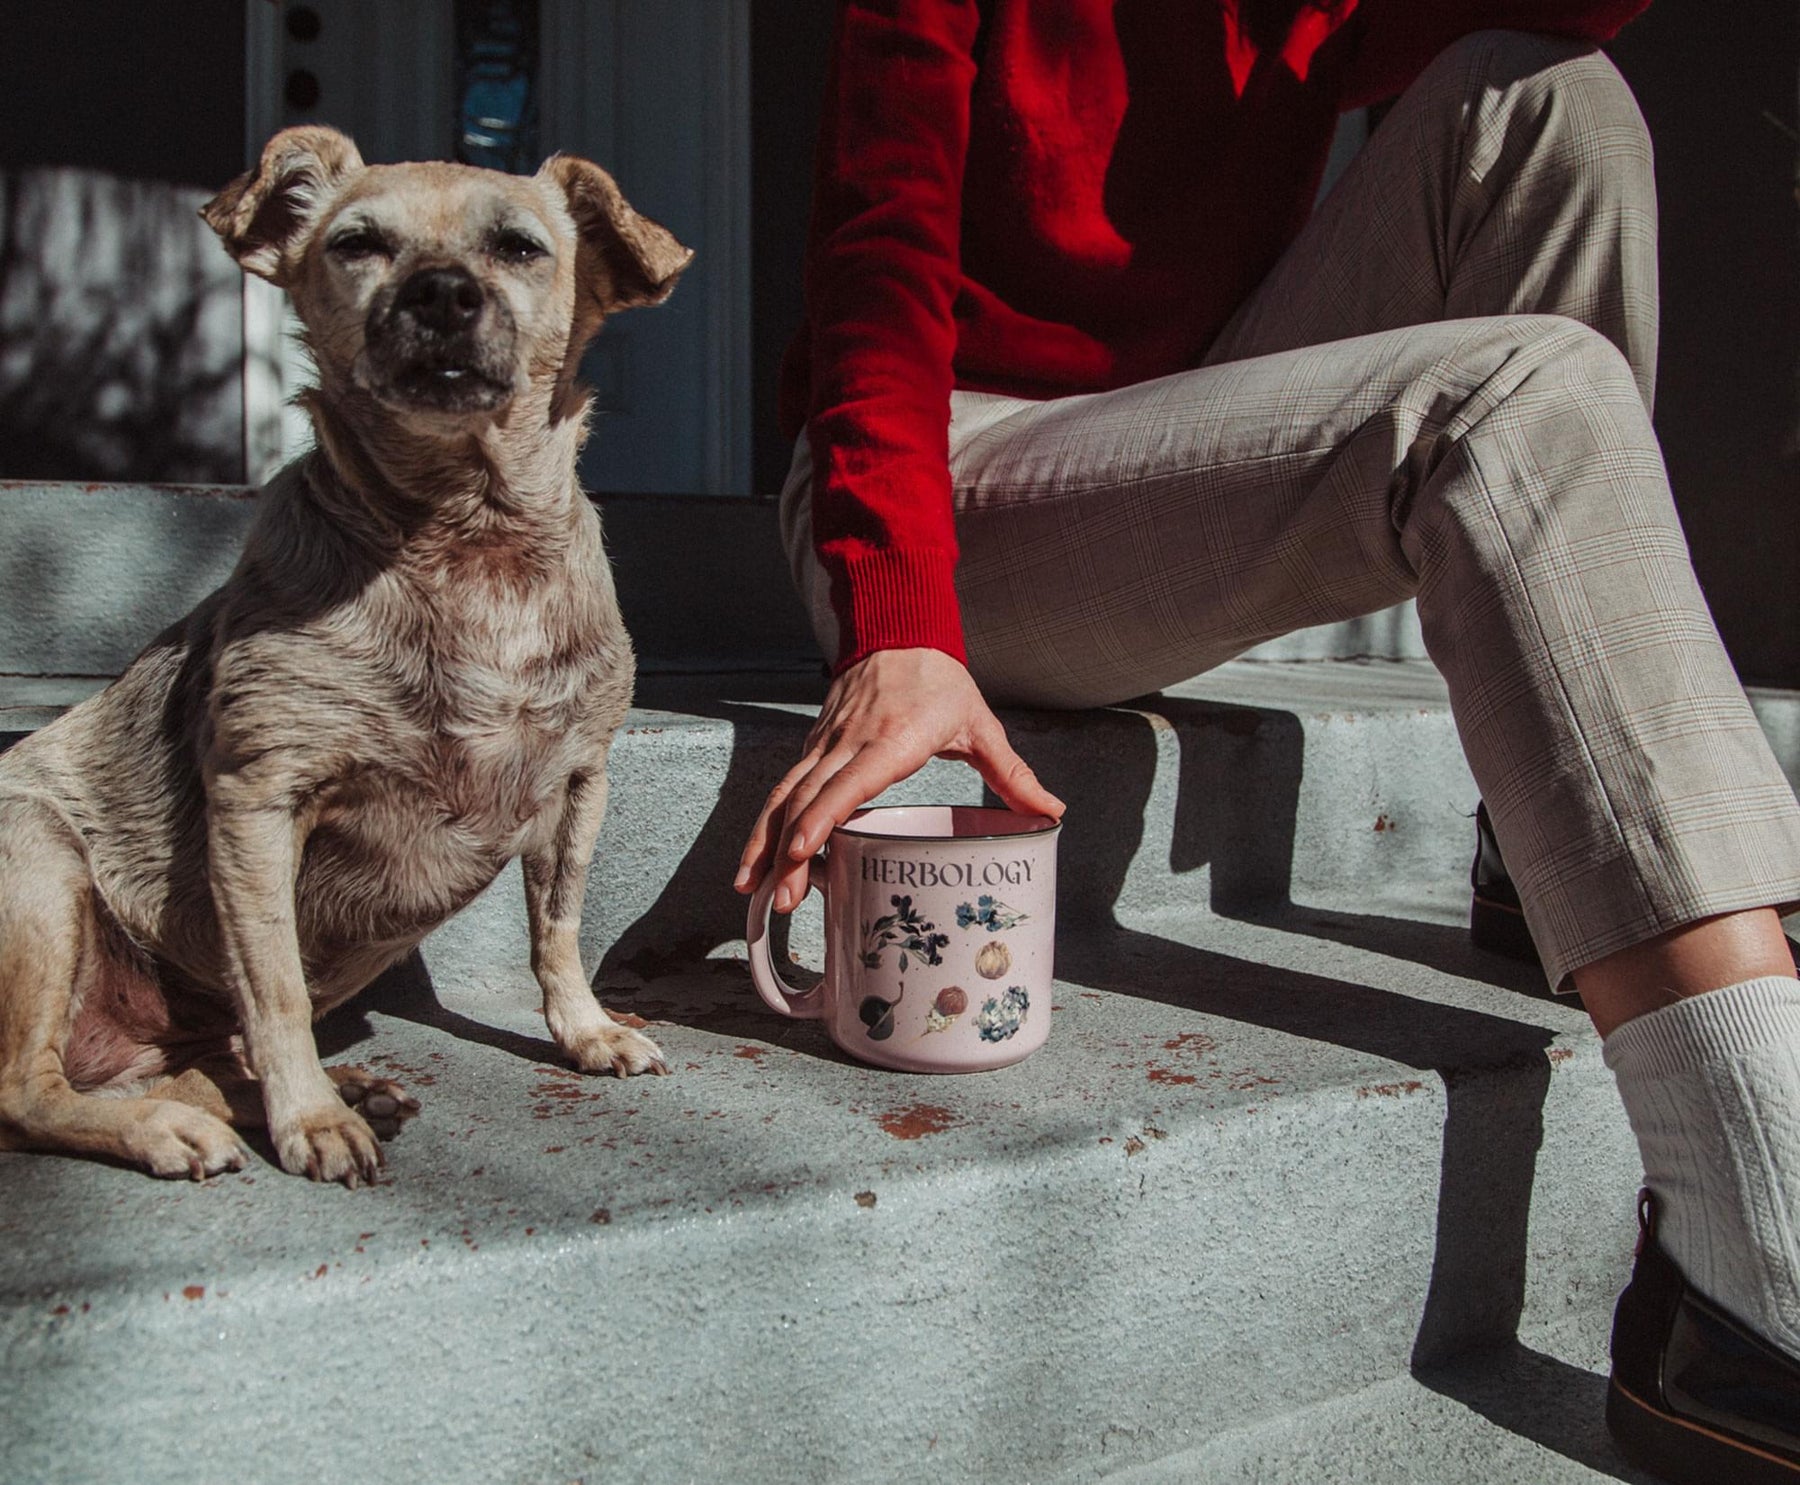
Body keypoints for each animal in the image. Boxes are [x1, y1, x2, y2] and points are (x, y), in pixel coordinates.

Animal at [0, 133, 687, 1188]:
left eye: (520, 249)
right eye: (357, 244)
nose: (441, 291)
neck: (466, 535)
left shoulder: (580, 783)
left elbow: (558, 928)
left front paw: (585, 1030)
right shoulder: (258, 805)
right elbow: (276, 983)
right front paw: (310, 1120)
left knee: (187, 1062)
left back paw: (314, 1090)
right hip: (37, 864)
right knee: (27, 1091)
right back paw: (180, 1126)